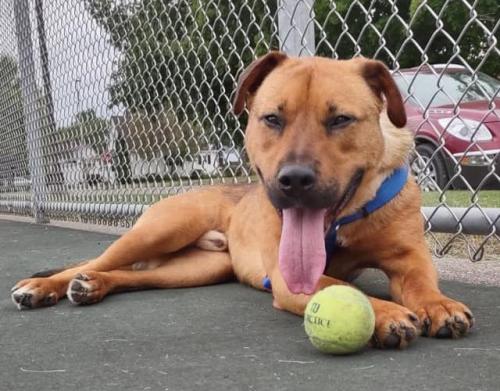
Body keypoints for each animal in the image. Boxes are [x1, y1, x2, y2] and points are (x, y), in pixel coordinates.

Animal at [10, 52, 472, 350]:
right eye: (272, 118)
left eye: (341, 119)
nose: (295, 179)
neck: (343, 221)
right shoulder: (289, 278)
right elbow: (337, 284)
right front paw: (385, 312)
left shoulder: (409, 258)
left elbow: (422, 283)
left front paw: (439, 304)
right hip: (160, 230)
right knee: (93, 261)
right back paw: (43, 286)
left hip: (197, 268)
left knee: (130, 275)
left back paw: (92, 286)